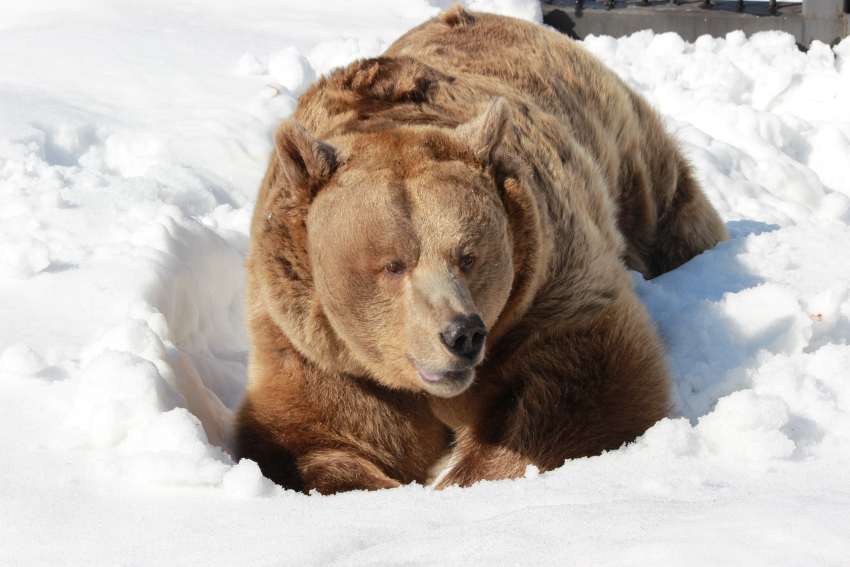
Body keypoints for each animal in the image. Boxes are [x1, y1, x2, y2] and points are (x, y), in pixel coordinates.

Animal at [234, 4, 728, 494]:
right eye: (392, 264)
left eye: (468, 256)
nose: (462, 334)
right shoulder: (317, 347)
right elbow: (315, 432)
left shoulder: (544, 286)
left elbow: (584, 383)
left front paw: (464, 475)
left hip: (621, 147)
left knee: (670, 206)